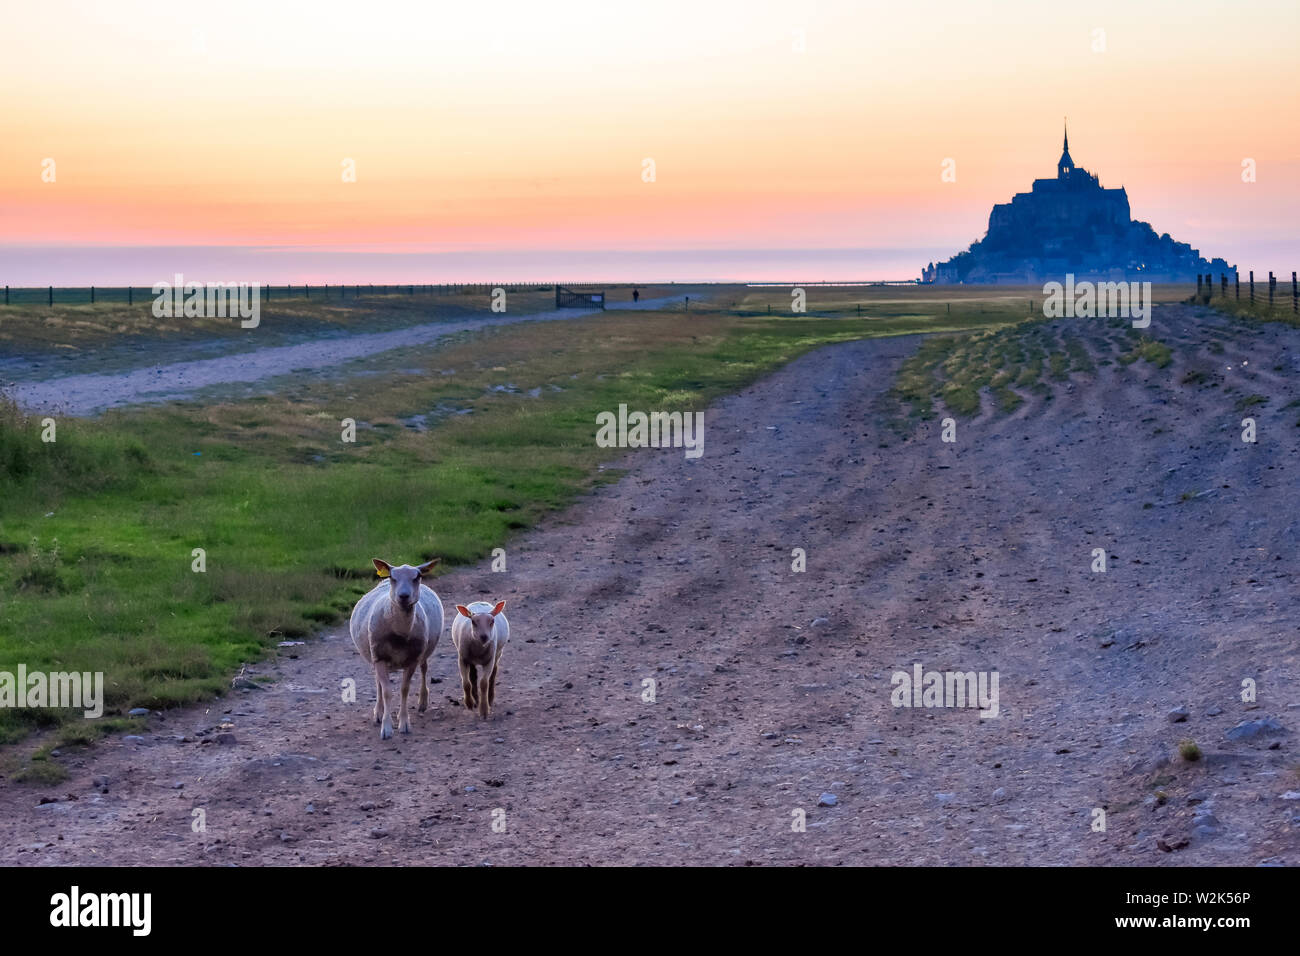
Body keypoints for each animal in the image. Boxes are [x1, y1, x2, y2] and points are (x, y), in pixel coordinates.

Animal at [349, 558, 443, 739]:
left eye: (417, 576)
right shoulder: (379, 657)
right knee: (378, 682)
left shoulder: (412, 659)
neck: (400, 633)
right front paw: (386, 727)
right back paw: (379, 712)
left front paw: (404, 723)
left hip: (423, 651)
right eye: (393, 577)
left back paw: (422, 702)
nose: (404, 596)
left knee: (424, 669)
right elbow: (387, 692)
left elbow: (404, 690)